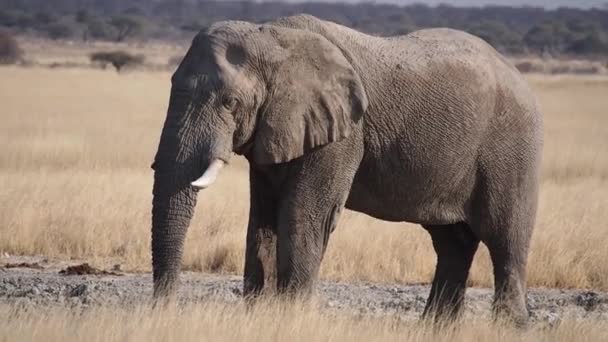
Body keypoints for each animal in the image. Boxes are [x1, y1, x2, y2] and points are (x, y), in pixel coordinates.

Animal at [151, 12, 540, 324]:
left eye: (230, 102)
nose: (165, 309)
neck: (274, 38)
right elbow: (262, 218)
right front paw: (260, 315)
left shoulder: (344, 134)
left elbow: (303, 214)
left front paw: (292, 316)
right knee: (452, 242)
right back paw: (436, 328)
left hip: (511, 147)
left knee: (505, 237)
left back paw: (508, 326)